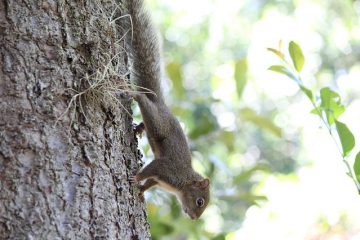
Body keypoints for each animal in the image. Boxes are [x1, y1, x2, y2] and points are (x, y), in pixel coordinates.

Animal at [122, 0, 210, 219]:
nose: (193, 218)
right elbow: (150, 169)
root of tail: (161, 103)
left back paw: (139, 129)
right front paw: (136, 178)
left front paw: (141, 191)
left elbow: (150, 182)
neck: (183, 183)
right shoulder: (166, 169)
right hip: (157, 120)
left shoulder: (160, 179)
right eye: (200, 201)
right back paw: (135, 94)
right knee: (144, 101)